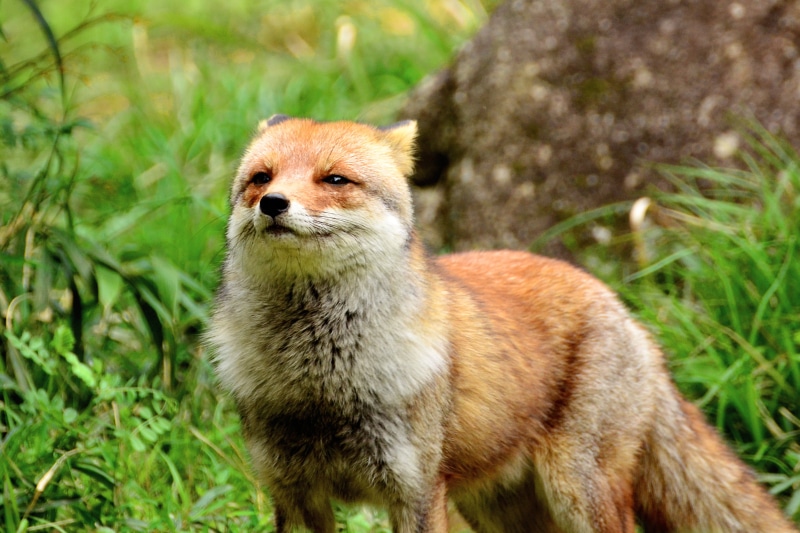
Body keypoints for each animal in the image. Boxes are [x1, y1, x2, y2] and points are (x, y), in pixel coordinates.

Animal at [207, 115, 798, 533]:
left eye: (334, 179)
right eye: (260, 178)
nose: (273, 203)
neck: (320, 388)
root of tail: (621, 306)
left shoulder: (416, 490)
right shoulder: (292, 491)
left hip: (577, 488)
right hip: (500, 509)